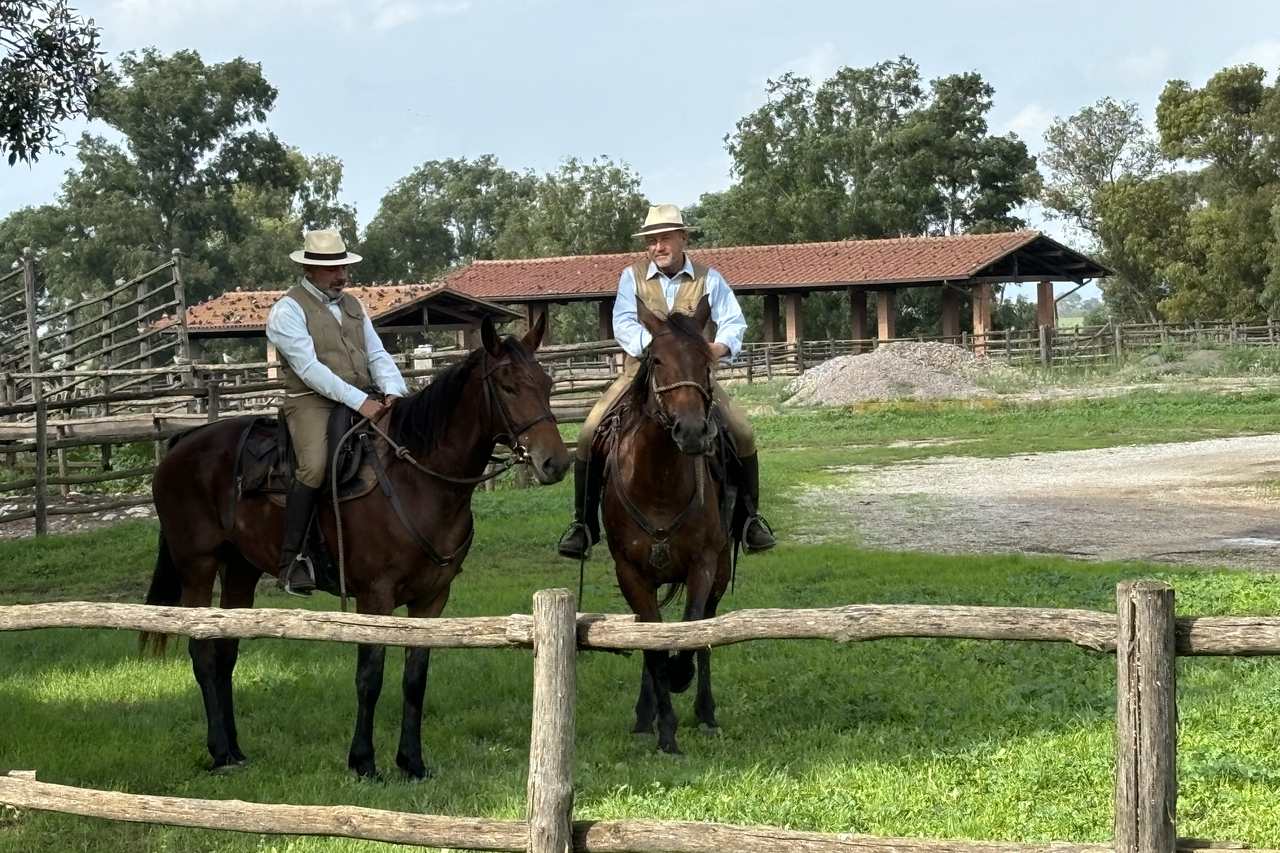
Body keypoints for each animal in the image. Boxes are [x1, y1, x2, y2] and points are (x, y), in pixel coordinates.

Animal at [142, 313, 568, 778]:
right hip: (198, 568)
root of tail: (185, 443)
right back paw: (219, 752)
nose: (556, 462)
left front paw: (412, 762)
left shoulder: (432, 600)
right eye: (508, 386)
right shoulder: (374, 598)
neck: (419, 479)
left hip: (240, 570)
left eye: (546, 383)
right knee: (202, 652)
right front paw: (363, 761)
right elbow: (370, 675)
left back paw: (235, 751)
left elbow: (415, 678)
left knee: (225, 653)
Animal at [596, 295, 732, 753]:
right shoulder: (631, 573)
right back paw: (645, 715)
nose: (691, 432)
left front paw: (680, 679)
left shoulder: (704, 565)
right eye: (656, 359)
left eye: (706, 358)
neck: (657, 485)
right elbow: (653, 647)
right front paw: (666, 731)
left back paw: (705, 712)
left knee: (710, 628)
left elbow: (692, 631)